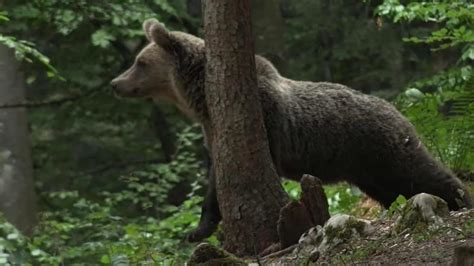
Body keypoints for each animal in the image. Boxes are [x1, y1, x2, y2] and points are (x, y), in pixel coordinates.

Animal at [110, 18, 470, 242]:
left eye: (140, 62)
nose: (116, 83)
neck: (203, 102)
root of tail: (397, 108)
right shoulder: (214, 132)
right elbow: (214, 177)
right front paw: (199, 229)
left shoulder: (265, 121)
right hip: (366, 168)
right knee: (393, 189)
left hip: (380, 146)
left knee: (420, 173)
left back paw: (460, 198)